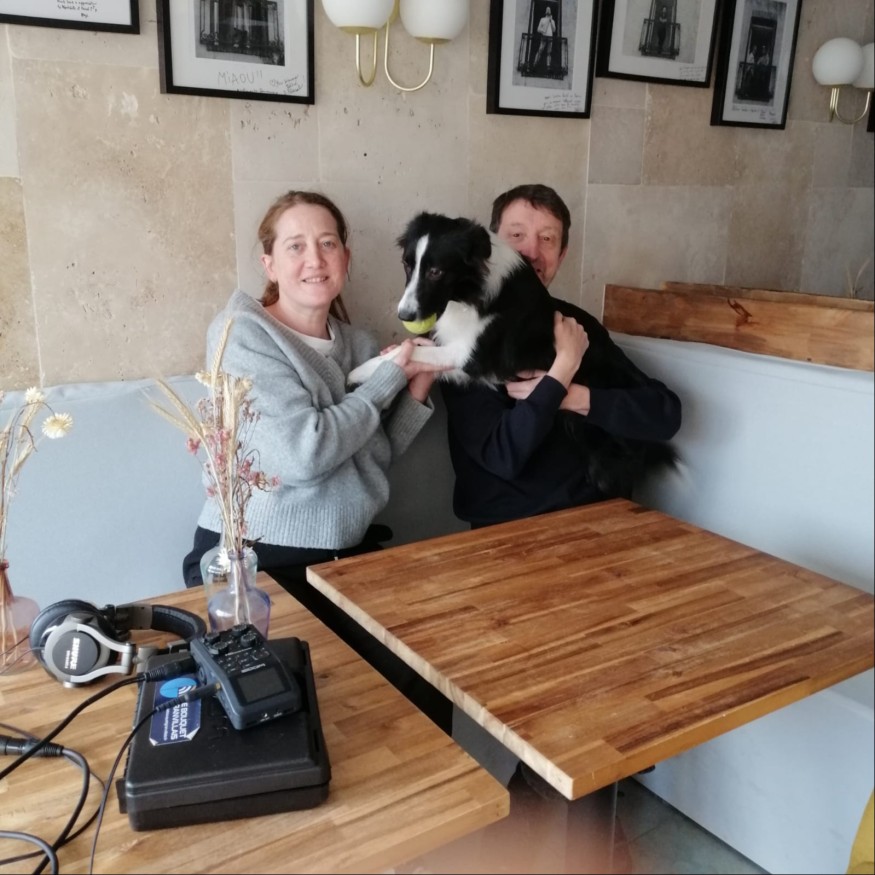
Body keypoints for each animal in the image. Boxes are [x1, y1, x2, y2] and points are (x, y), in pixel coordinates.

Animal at [348, 211, 678, 498]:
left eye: (436, 271)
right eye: (407, 265)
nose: (404, 314)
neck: (469, 294)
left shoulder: (471, 356)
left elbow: (412, 356)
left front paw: (362, 373)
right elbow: (414, 349)